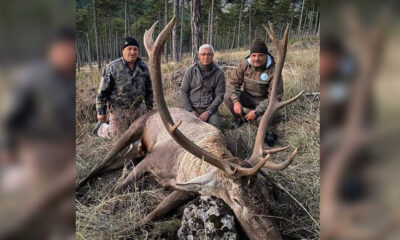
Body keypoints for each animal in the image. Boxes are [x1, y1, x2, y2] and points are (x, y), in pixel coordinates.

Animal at [78, 17, 304, 240]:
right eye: (237, 200)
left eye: (267, 195)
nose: (273, 236)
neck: (182, 170)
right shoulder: (151, 160)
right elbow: (118, 190)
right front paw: (114, 230)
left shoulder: (187, 189)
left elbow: (156, 212)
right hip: (133, 127)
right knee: (103, 162)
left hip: (138, 149)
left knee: (121, 160)